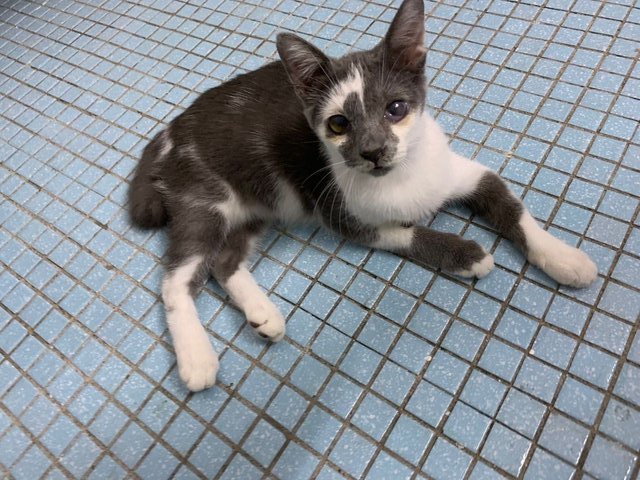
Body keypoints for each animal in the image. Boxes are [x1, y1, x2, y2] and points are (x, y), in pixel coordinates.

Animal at [129, 0, 600, 392]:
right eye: (338, 124)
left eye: (396, 108)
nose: (373, 151)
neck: (403, 178)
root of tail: (171, 131)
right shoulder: (341, 214)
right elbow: (407, 233)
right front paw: (465, 253)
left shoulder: (461, 173)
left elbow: (510, 206)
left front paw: (563, 257)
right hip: (207, 200)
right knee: (177, 277)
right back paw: (197, 358)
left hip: (264, 202)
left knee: (225, 261)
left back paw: (263, 314)